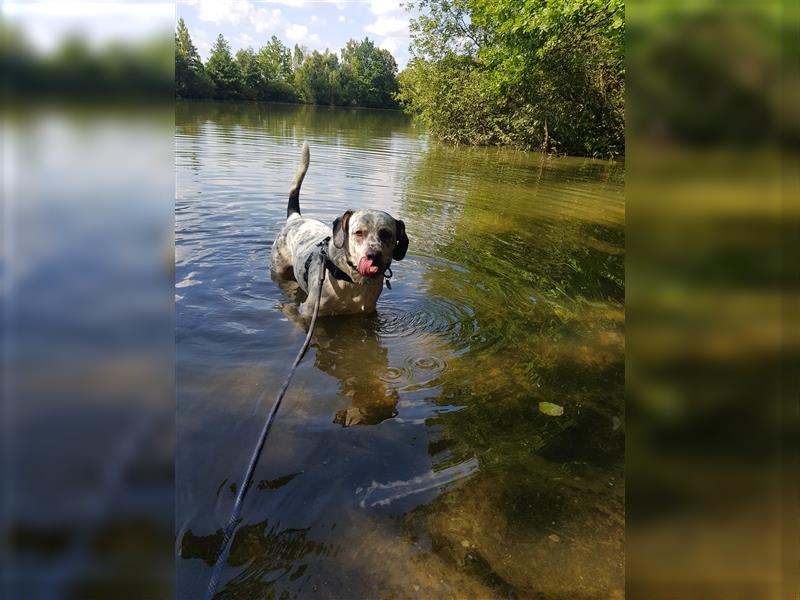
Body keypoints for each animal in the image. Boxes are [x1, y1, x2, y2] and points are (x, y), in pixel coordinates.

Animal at [270, 143, 410, 318]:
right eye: (358, 232)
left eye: (386, 234)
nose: (373, 255)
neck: (352, 281)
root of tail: (296, 218)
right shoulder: (307, 312)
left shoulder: (367, 310)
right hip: (278, 269)